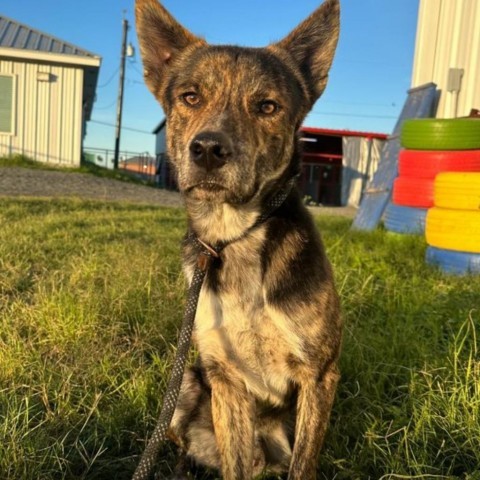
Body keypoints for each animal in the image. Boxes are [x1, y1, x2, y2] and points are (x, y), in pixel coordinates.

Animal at [136, 1, 342, 478]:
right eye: (190, 97)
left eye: (267, 106)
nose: (209, 149)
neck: (235, 236)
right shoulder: (225, 378)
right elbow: (233, 460)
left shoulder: (319, 376)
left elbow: (305, 463)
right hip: (187, 384)